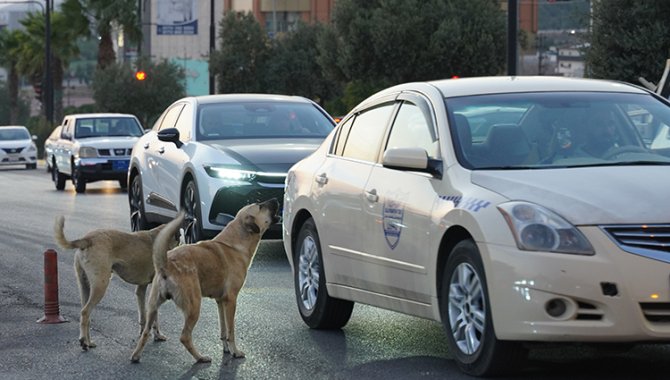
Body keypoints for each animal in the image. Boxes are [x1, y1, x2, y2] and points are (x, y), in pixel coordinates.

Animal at [54, 214, 182, 350]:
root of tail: (87, 239)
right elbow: (155, 317)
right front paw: (157, 335)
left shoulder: (141, 290)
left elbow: (143, 314)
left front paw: (143, 333)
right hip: (100, 285)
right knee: (85, 312)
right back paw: (84, 341)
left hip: (84, 285)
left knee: (85, 314)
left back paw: (88, 341)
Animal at [131, 199, 280, 362]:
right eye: (260, 206)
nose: (276, 199)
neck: (235, 244)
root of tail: (166, 264)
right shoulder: (231, 300)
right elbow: (231, 331)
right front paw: (235, 351)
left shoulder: (220, 301)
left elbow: (223, 330)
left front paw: (226, 349)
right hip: (194, 306)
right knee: (185, 337)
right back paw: (200, 357)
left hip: (152, 308)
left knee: (145, 332)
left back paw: (136, 356)